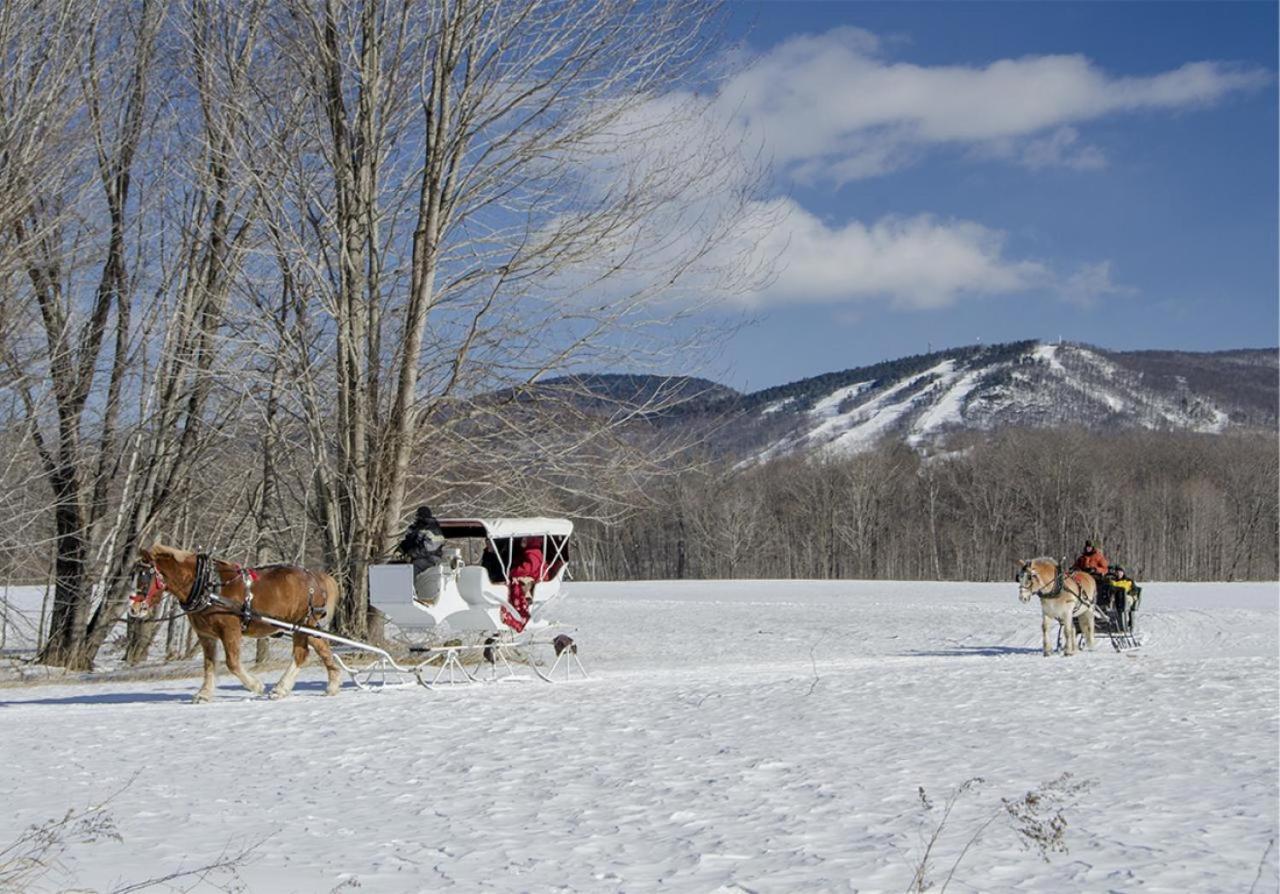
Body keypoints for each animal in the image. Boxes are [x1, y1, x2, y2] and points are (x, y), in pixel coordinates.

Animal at [128, 540, 345, 701]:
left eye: (144, 577)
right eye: (133, 575)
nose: (133, 609)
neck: (206, 586)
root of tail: (316, 577)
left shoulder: (230, 630)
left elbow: (232, 663)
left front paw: (256, 686)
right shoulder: (206, 635)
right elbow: (209, 664)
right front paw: (204, 694)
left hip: (303, 624)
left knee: (302, 654)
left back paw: (283, 688)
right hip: (308, 627)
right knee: (319, 650)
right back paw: (329, 685)